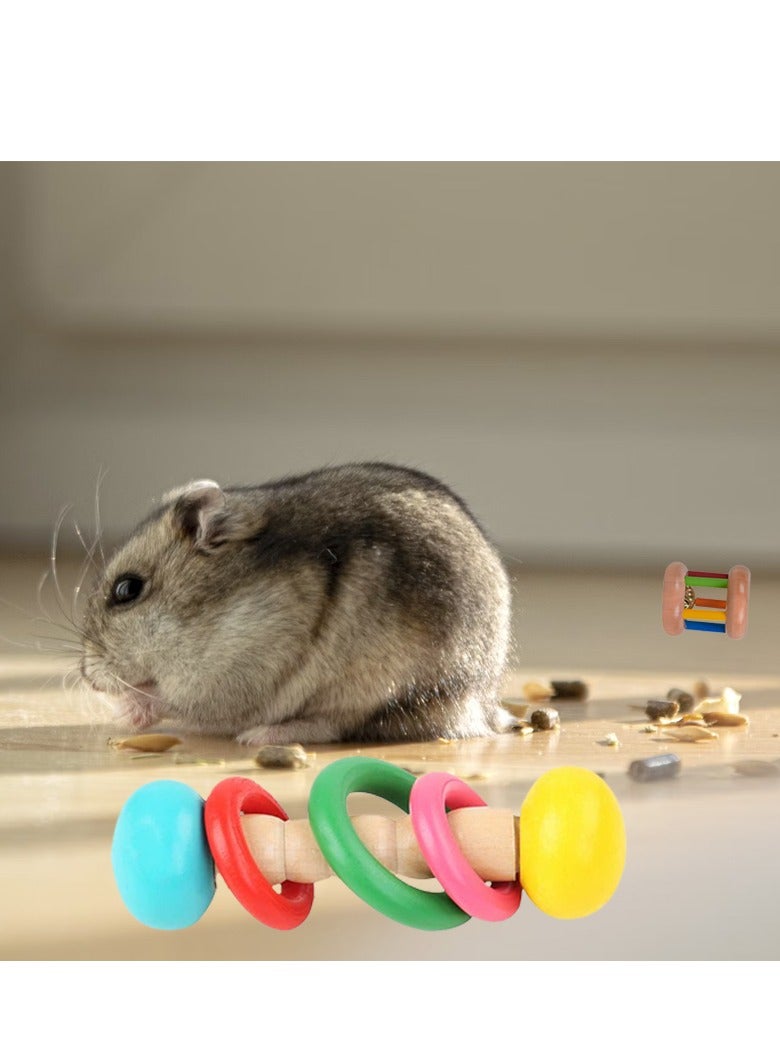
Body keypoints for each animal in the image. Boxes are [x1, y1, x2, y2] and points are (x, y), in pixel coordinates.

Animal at [79, 462, 514, 745]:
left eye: (127, 590)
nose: (87, 677)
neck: (213, 615)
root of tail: (482, 703)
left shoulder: (240, 667)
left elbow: (172, 698)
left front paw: (126, 709)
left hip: (376, 689)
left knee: (335, 726)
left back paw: (261, 735)